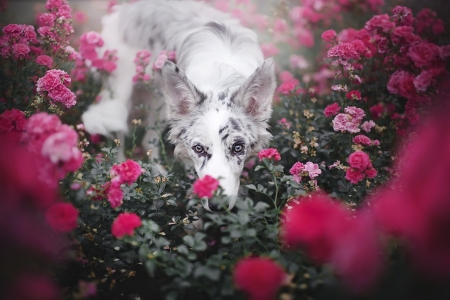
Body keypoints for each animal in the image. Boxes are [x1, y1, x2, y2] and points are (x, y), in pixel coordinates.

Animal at [82, 0, 276, 211]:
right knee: (118, 135)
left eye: (238, 147)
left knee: (147, 140)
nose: (217, 205)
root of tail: (126, 7)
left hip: (160, 102)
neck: (220, 77)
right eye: (198, 148)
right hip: (121, 92)